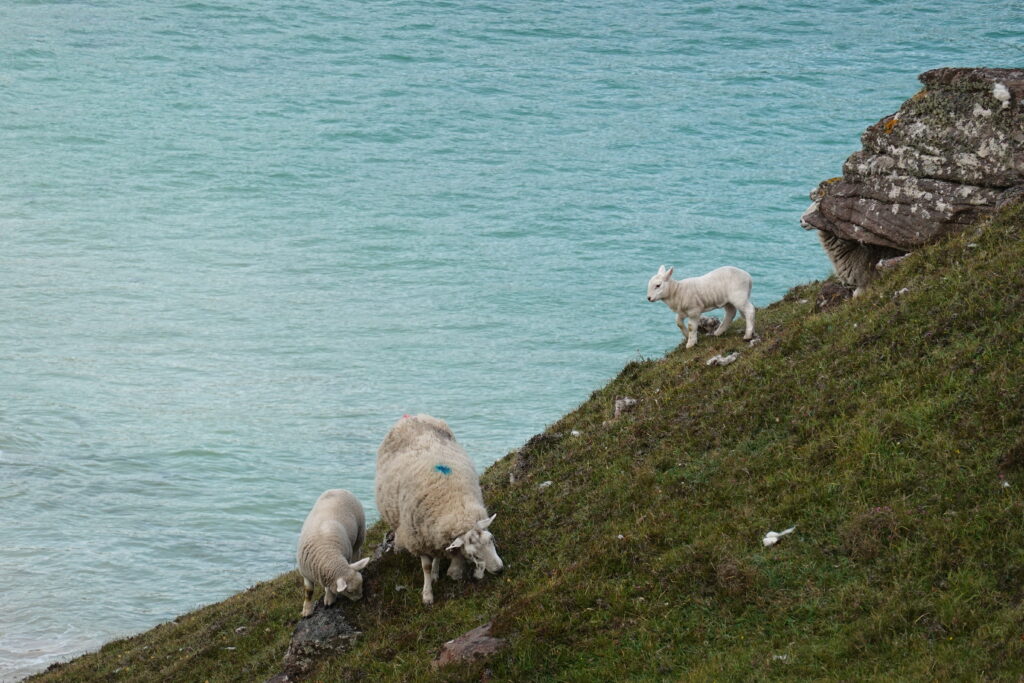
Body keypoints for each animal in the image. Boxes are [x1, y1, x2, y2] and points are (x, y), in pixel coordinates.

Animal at [296, 489, 371, 618]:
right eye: (349, 591)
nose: (360, 599)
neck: (328, 556)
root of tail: (340, 489)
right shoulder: (306, 574)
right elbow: (308, 592)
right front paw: (307, 610)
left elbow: (329, 588)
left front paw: (329, 598)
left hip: (360, 534)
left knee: (357, 551)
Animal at [375, 413, 503, 605]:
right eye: (473, 555)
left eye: (491, 539)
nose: (499, 570)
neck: (453, 503)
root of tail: (411, 416)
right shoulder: (419, 539)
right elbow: (426, 567)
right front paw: (427, 594)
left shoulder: (434, 535)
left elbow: (438, 556)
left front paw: (437, 573)